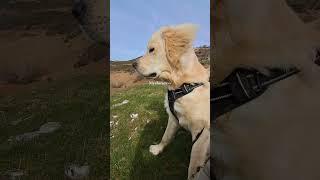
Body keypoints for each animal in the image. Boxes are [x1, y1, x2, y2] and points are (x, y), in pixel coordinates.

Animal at [132, 23, 210, 179]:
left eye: (151, 49)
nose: (133, 64)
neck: (183, 85)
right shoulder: (173, 118)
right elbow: (166, 136)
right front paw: (157, 149)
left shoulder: (202, 133)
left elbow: (193, 165)